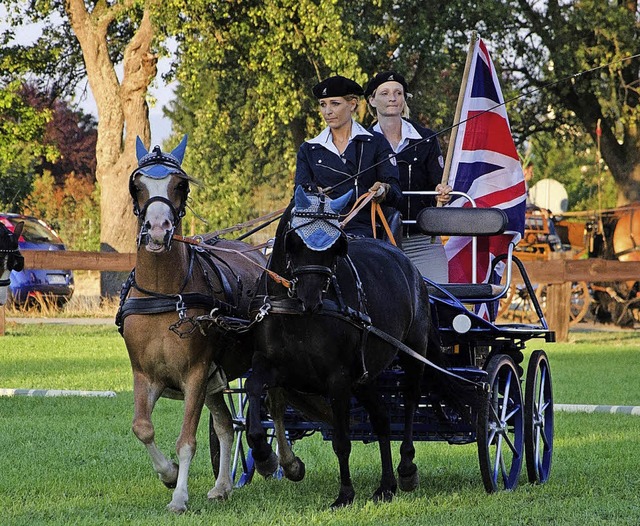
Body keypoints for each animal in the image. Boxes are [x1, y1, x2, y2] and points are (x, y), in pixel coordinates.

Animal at [117, 137, 270, 516]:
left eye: (180, 185)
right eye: (136, 185)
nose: (158, 230)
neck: (165, 293)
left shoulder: (195, 374)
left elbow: (186, 440)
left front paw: (179, 496)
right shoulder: (146, 374)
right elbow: (142, 427)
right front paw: (169, 474)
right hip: (215, 379)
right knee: (227, 426)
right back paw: (222, 486)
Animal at [248, 188, 432, 510]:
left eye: (337, 247)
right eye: (294, 241)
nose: (311, 298)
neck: (296, 311)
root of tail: (401, 256)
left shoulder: (338, 378)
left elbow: (341, 441)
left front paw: (345, 493)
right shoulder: (271, 363)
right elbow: (254, 390)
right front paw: (264, 456)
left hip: (412, 352)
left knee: (410, 401)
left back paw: (406, 469)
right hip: (364, 375)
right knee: (382, 418)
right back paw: (386, 486)